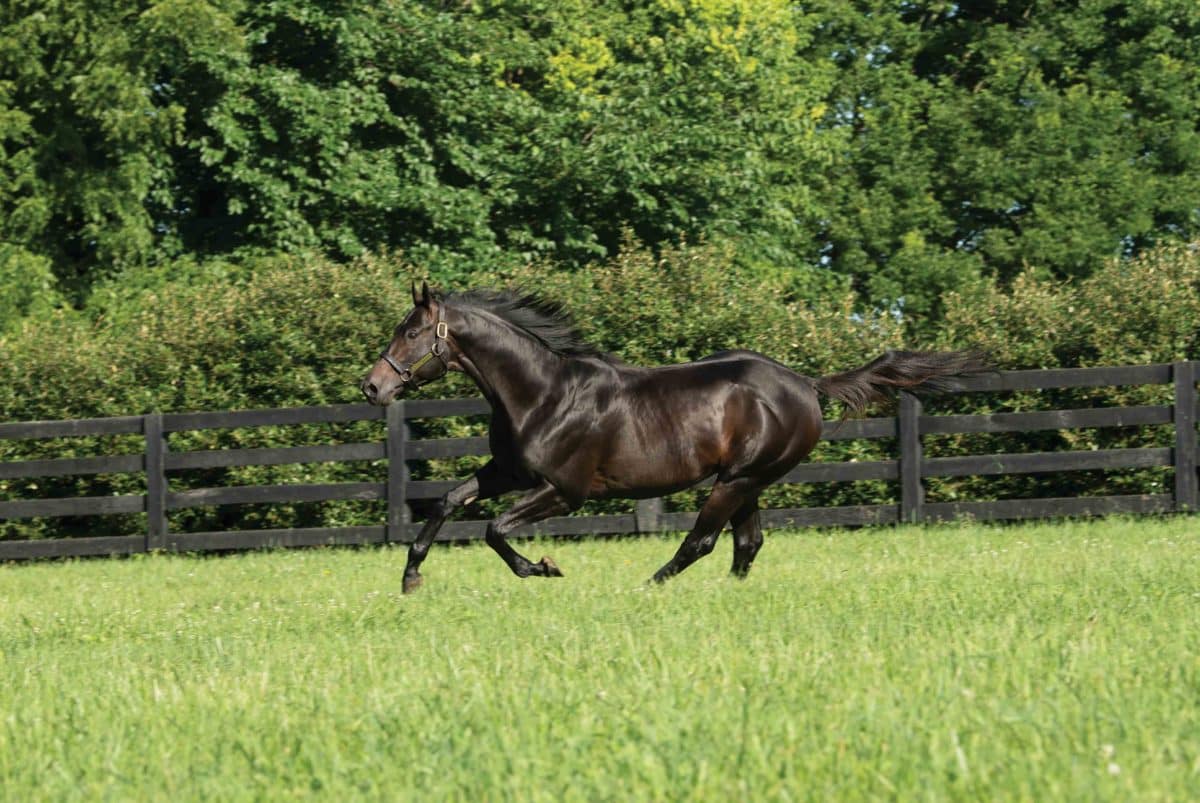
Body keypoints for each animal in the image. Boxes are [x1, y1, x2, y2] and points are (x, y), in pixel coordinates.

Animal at [360, 280, 988, 588]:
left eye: (412, 332)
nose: (371, 386)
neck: (542, 394)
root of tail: (806, 384)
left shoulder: (564, 491)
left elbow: (493, 529)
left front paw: (544, 568)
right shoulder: (507, 472)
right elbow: (447, 501)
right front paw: (411, 577)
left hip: (739, 478)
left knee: (703, 541)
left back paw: (650, 585)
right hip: (746, 482)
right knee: (746, 542)